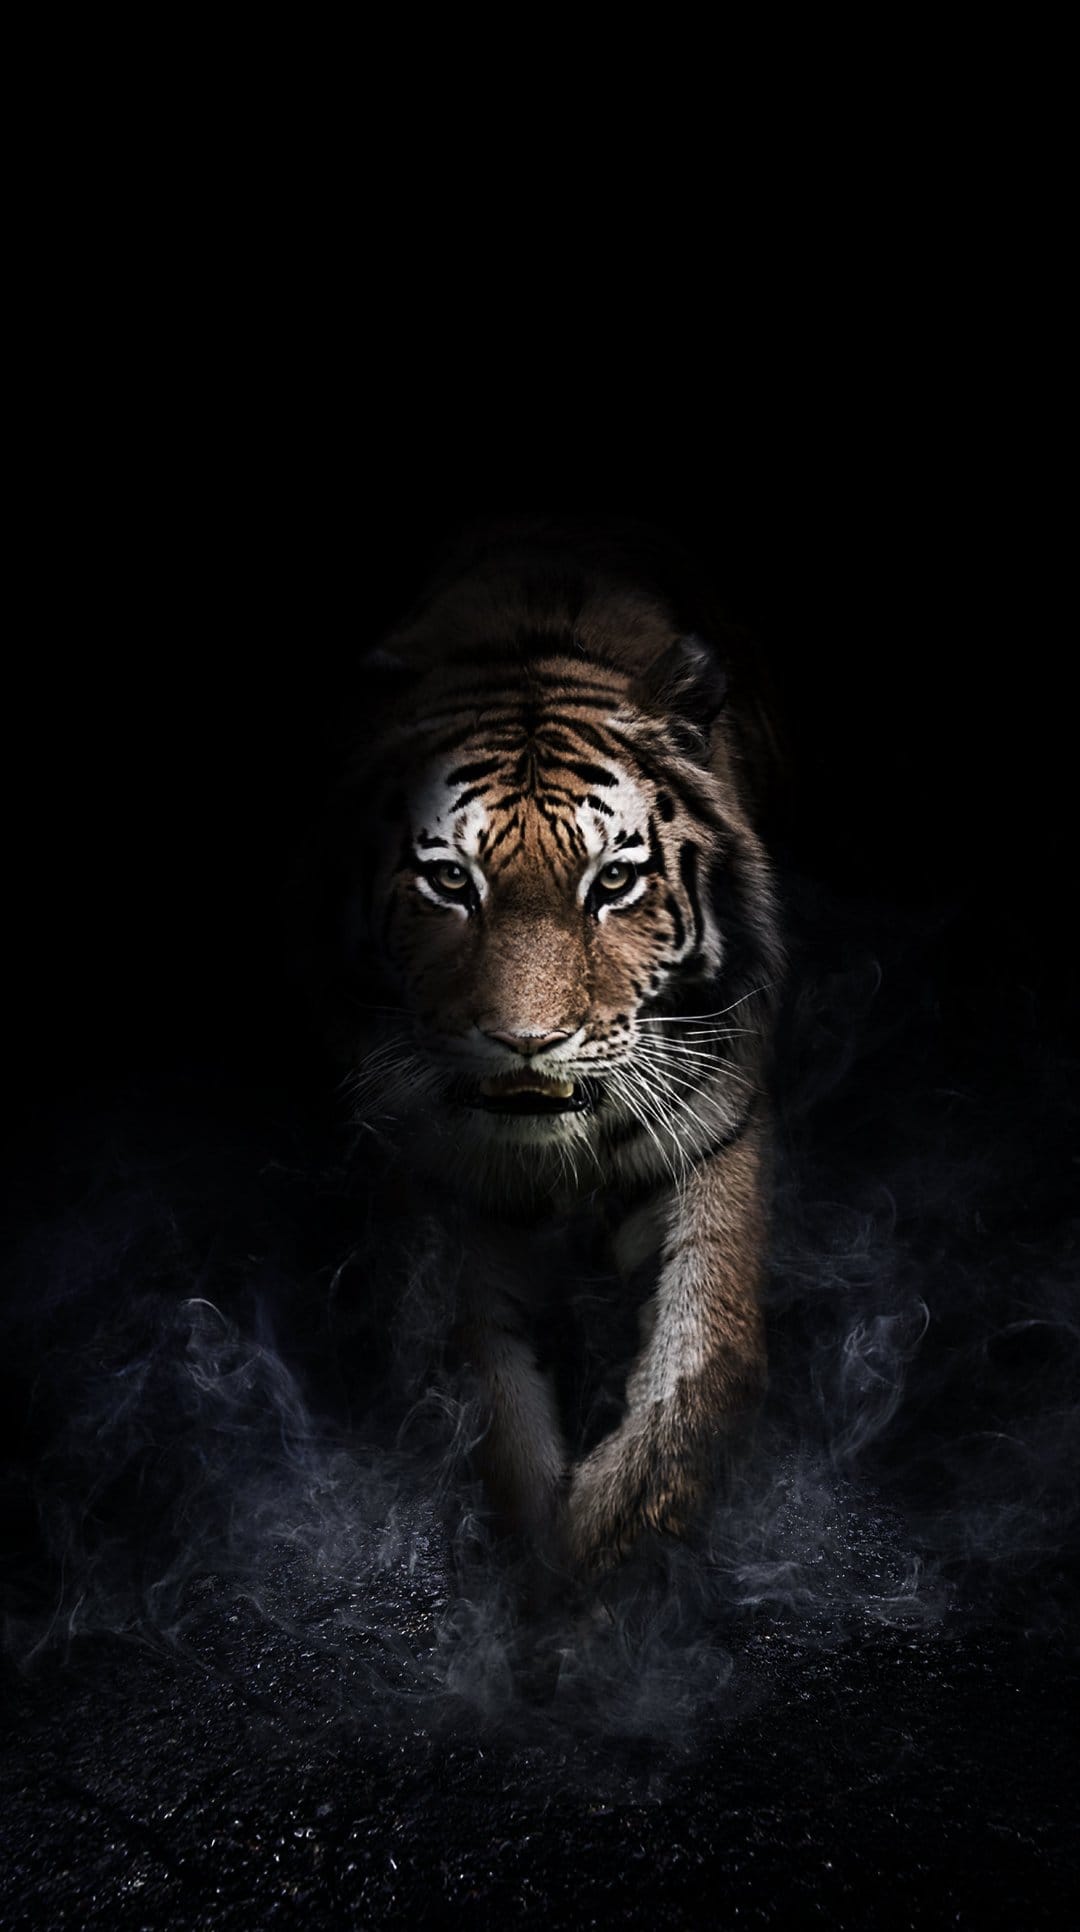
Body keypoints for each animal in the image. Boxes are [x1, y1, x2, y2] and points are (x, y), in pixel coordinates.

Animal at [319, 521, 784, 1574]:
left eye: (612, 881)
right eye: (451, 880)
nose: (527, 1041)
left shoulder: (714, 1135)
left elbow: (706, 1348)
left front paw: (612, 1541)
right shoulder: (434, 1180)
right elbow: (482, 1389)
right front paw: (538, 1550)